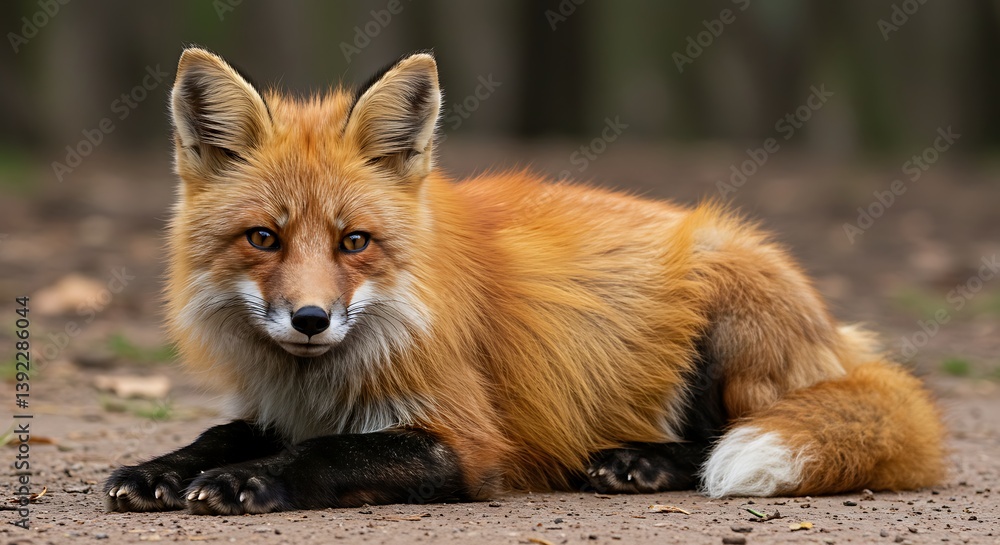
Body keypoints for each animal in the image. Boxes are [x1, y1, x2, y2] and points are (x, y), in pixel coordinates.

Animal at [104, 47, 946, 515]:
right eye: (264, 238)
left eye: (354, 242)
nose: (310, 319)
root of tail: (843, 339)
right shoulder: (284, 407)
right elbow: (220, 434)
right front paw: (159, 470)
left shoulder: (470, 441)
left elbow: (329, 454)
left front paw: (249, 482)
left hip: (725, 322)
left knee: (718, 436)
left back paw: (637, 461)